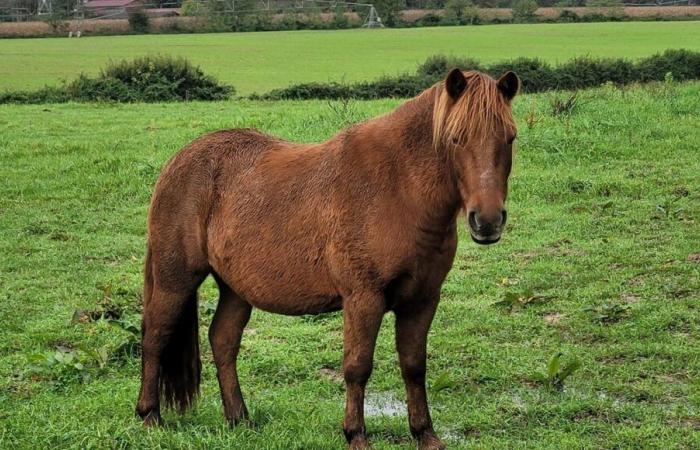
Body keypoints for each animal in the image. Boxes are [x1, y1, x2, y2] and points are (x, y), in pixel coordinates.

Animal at [137, 67, 520, 450]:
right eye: (456, 138)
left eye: (510, 138)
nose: (487, 221)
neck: (397, 189)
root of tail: (177, 162)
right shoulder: (363, 298)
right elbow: (357, 366)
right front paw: (356, 434)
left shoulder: (423, 299)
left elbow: (413, 366)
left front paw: (425, 434)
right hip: (176, 280)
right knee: (155, 335)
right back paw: (150, 416)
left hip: (236, 289)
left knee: (223, 341)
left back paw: (239, 418)